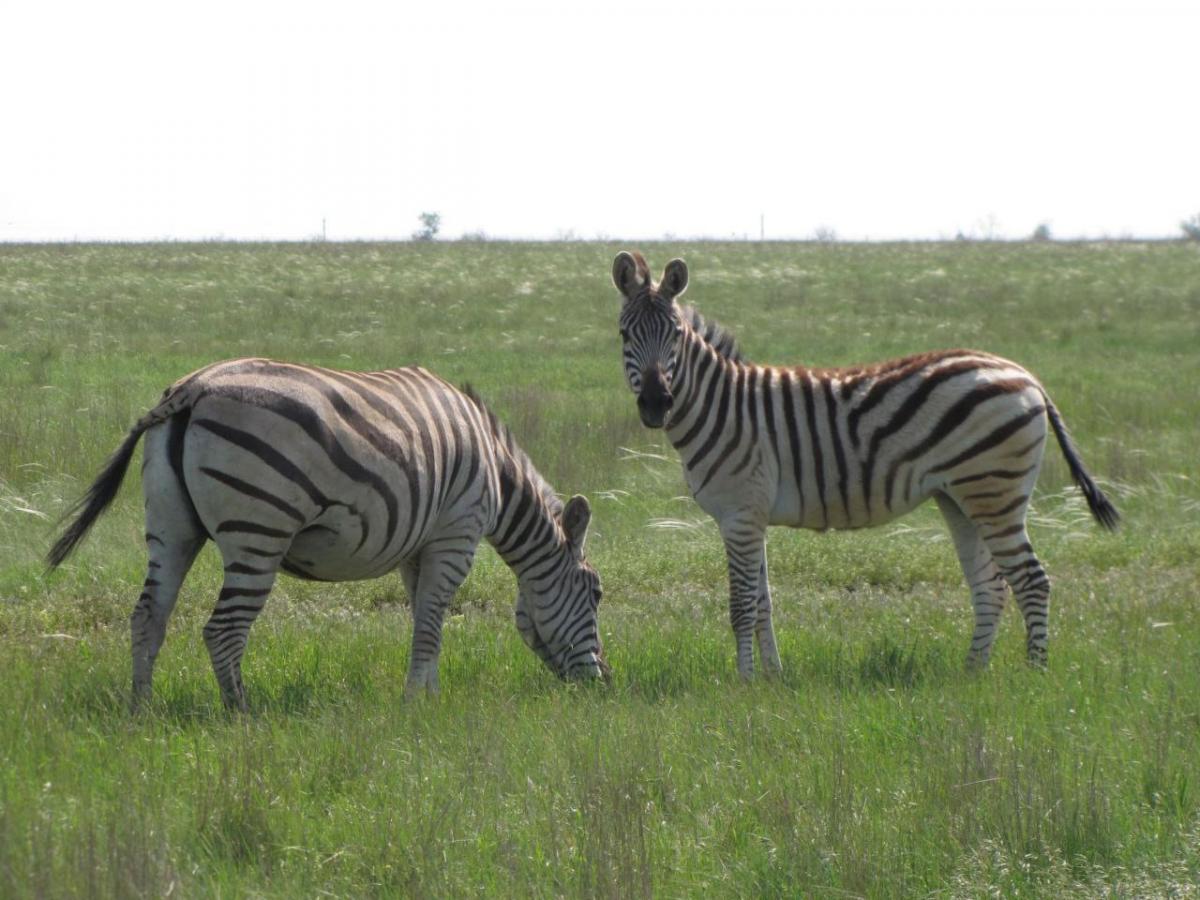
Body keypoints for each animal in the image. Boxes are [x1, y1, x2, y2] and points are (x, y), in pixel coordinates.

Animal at [46, 360, 609, 710]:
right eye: (598, 593)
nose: (602, 682)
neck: (497, 474)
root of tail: (193, 388)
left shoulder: (421, 547)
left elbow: (425, 620)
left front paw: (428, 695)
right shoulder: (457, 534)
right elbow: (431, 621)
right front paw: (416, 704)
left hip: (170, 527)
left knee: (148, 617)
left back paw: (140, 710)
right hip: (259, 530)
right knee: (223, 630)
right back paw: (242, 714)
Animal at [614, 250, 1118, 681]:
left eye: (676, 334)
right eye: (624, 335)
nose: (656, 404)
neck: (720, 406)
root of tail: (1026, 376)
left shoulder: (738, 514)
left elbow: (741, 606)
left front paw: (744, 683)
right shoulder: (751, 515)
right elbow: (762, 604)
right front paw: (772, 678)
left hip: (994, 491)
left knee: (1032, 581)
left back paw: (1035, 674)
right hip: (961, 495)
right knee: (991, 586)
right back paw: (972, 673)